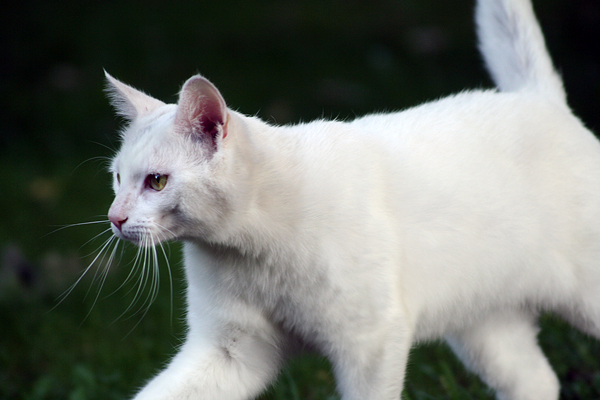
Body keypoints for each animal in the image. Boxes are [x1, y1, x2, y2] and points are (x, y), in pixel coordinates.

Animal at [104, 0, 600, 396]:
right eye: (117, 178)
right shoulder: (231, 350)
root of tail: (541, 99)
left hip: (584, 298)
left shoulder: (371, 342)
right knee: (538, 380)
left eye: (157, 182)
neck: (251, 250)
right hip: (486, 330)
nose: (114, 218)